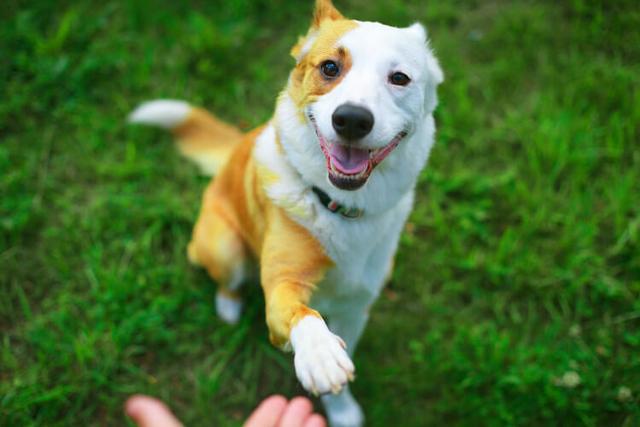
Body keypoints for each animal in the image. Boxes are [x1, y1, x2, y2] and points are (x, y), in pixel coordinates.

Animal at [129, 1, 440, 426]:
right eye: (330, 67)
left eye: (399, 78)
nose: (352, 119)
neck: (341, 207)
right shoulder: (282, 284)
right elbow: (299, 312)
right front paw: (320, 355)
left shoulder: (356, 307)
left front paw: (342, 410)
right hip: (225, 246)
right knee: (224, 276)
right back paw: (229, 306)